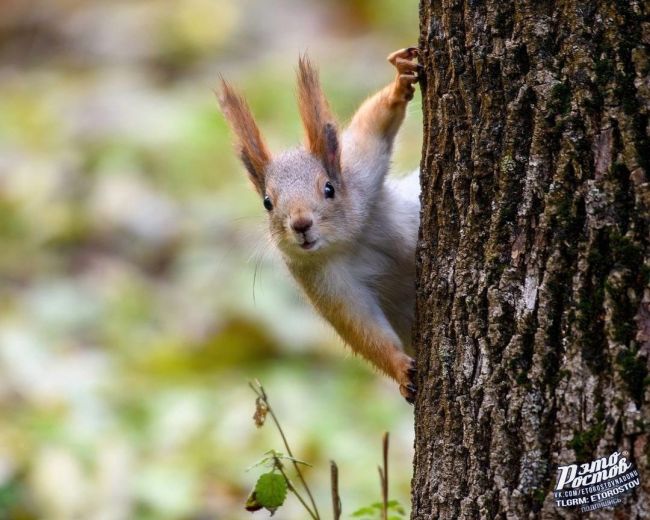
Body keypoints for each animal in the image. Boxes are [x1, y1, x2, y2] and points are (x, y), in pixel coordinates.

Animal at [218, 47, 420, 402]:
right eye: (267, 202)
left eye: (329, 188)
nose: (301, 224)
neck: (349, 240)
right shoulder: (321, 280)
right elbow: (360, 327)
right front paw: (400, 370)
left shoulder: (361, 173)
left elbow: (373, 129)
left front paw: (400, 81)